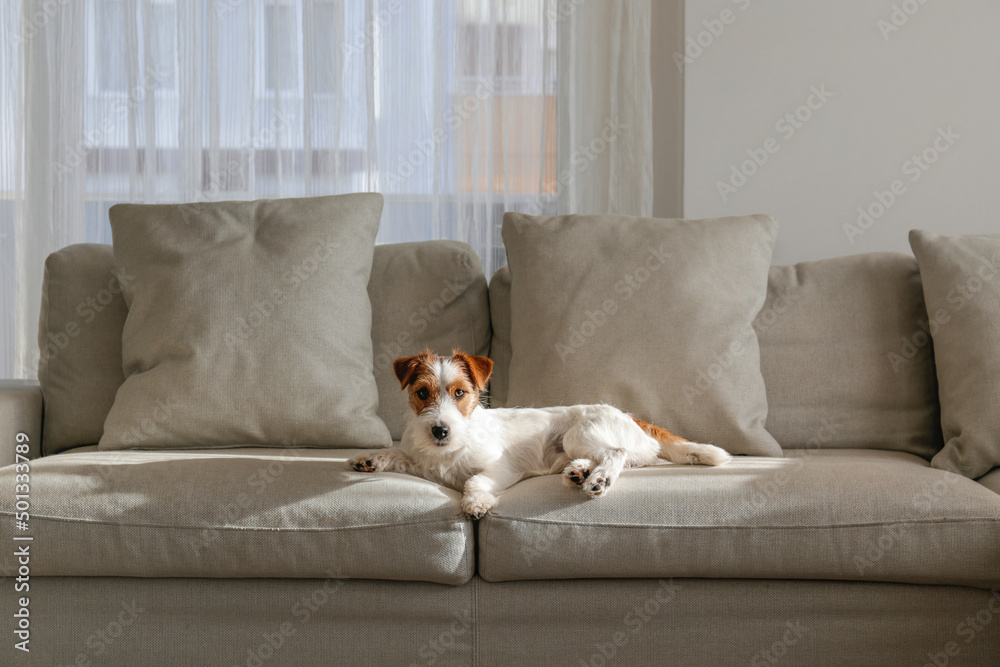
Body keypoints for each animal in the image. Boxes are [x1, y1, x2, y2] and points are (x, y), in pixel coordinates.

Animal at [348, 352, 732, 520]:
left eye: (459, 393)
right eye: (422, 393)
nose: (440, 430)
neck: (450, 447)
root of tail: (630, 416)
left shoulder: (501, 469)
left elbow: (474, 481)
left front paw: (475, 502)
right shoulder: (422, 463)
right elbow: (399, 454)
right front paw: (368, 459)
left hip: (581, 433)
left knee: (617, 453)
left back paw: (599, 478)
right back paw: (579, 472)